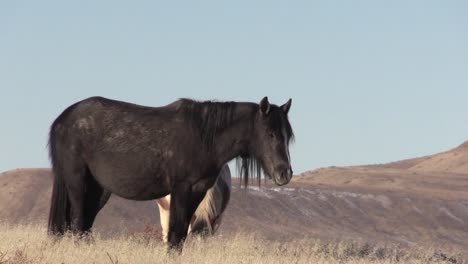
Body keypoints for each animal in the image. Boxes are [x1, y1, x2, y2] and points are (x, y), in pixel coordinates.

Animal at [46, 96, 292, 249]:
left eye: (287, 135)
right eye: (270, 133)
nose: (284, 174)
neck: (202, 137)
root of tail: (62, 119)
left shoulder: (197, 192)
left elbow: (181, 235)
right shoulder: (181, 190)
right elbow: (175, 234)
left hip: (98, 190)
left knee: (84, 225)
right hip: (77, 183)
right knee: (77, 222)